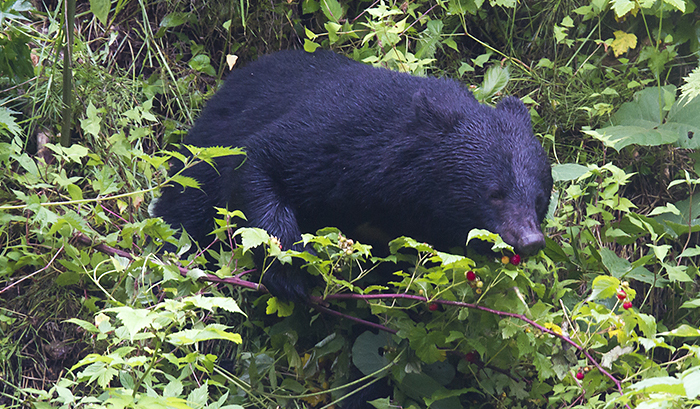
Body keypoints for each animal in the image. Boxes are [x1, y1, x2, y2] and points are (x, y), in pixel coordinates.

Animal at [154, 49, 552, 302]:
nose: (529, 240)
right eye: (495, 193)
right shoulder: (339, 137)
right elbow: (260, 159)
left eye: (538, 199)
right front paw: (291, 272)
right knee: (185, 215)